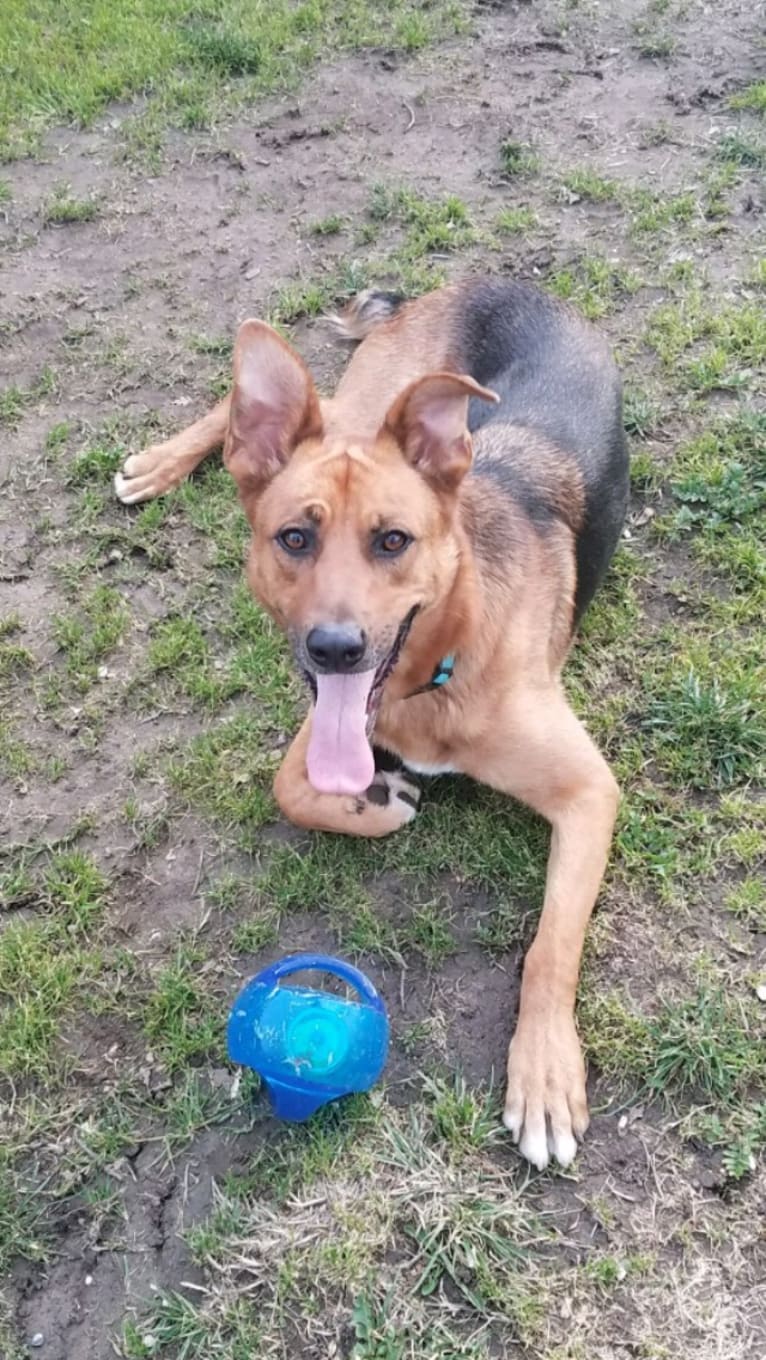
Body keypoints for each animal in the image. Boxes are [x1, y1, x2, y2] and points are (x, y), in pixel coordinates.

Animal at [115, 278, 628, 1169]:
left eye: (394, 541)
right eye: (294, 537)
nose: (335, 648)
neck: (442, 666)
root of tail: (489, 277)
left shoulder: (590, 792)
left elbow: (551, 945)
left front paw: (544, 1072)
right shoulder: (325, 727)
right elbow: (289, 787)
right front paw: (376, 805)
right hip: (360, 403)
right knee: (264, 405)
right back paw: (162, 459)